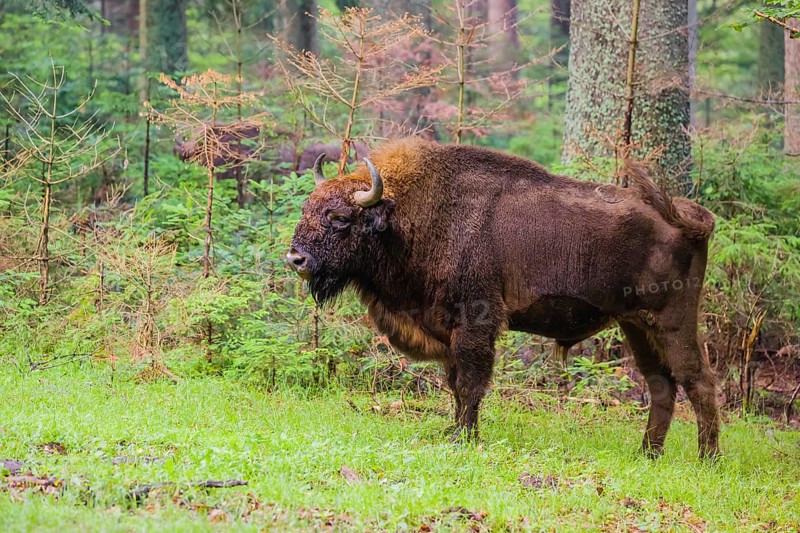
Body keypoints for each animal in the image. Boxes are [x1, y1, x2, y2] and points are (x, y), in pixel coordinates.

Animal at [287, 137, 719, 459]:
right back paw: (647, 454)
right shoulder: (448, 327)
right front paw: (453, 430)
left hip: (672, 321)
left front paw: (464, 438)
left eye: (341, 219)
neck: (405, 217)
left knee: (697, 380)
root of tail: (685, 217)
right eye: (308, 208)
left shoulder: (476, 320)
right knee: (661, 384)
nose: (296, 259)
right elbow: (454, 382)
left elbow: (470, 382)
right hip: (636, 326)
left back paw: (707, 459)